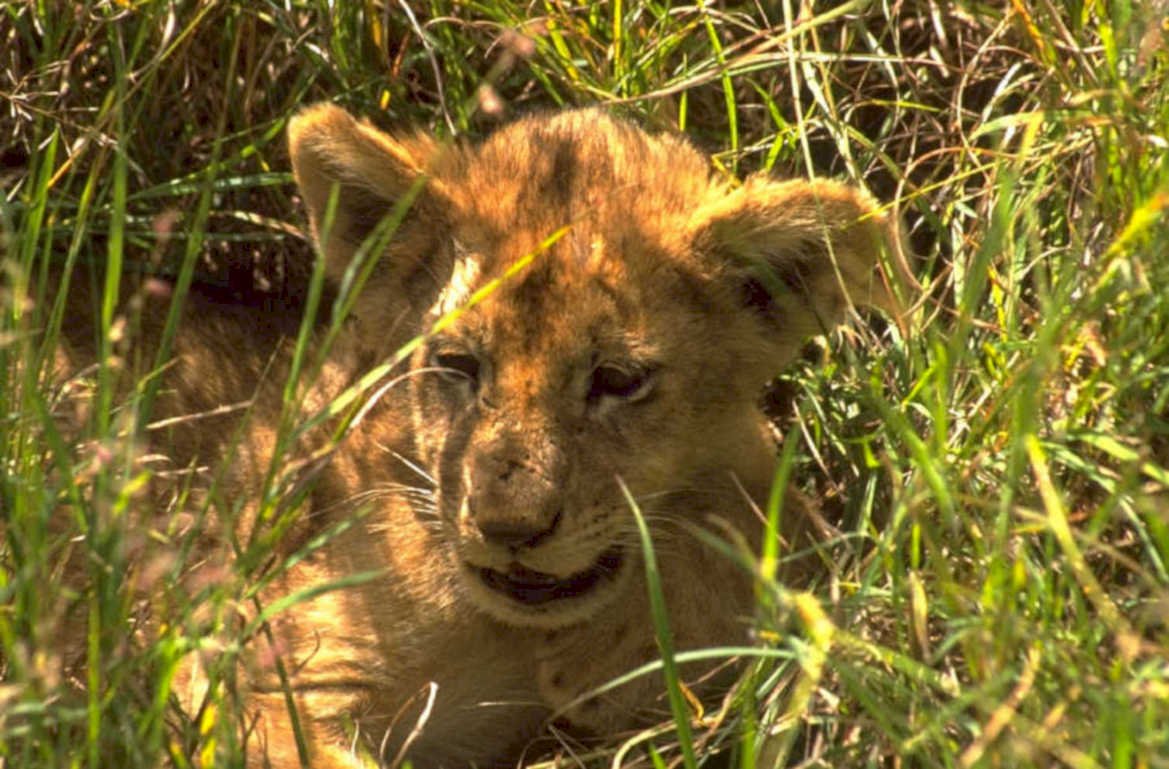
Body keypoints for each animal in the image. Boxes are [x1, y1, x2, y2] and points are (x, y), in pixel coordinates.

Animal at [58, 104, 901, 768]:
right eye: (458, 364)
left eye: (618, 379)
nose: (509, 528)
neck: (514, 637)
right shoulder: (219, 658)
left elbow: (797, 546)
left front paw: (632, 643)